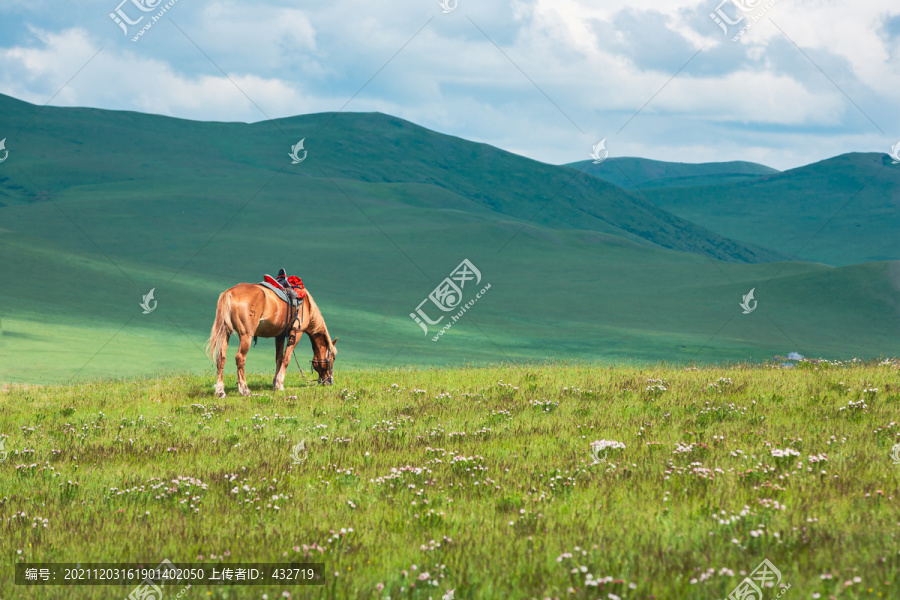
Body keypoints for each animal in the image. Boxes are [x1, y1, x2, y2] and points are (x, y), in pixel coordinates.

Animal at [204, 282, 338, 398]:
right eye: (332, 358)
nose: (330, 381)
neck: (306, 306)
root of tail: (229, 293)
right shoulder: (296, 333)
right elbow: (286, 359)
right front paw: (280, 384)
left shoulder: (279, 336)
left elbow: (279, 359)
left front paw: (275, 384)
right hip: (246, 335)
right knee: (240, 358)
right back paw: (245, 390)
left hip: (225, 332)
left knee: (221, 358)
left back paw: (220, 391)